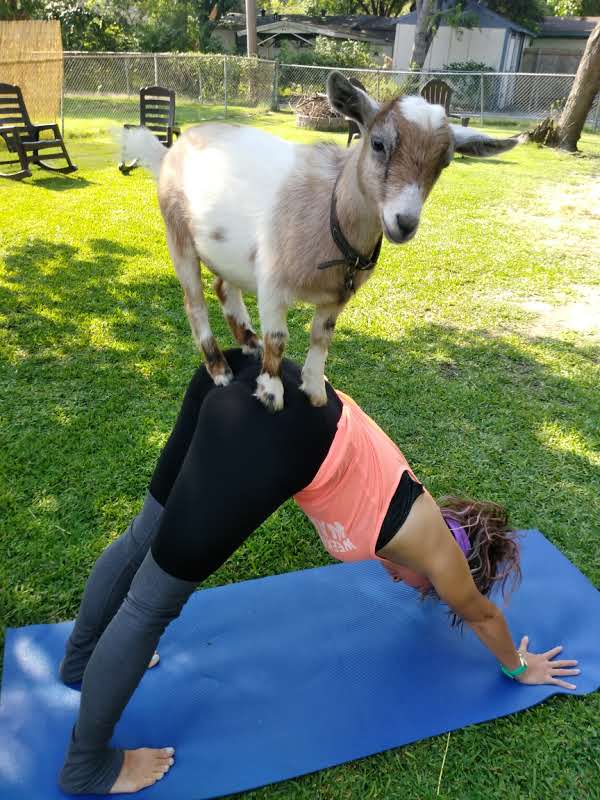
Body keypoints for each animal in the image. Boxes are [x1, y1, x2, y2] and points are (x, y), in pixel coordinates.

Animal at [123, 71, 516, 410]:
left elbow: (321, 336)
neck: (330, 212)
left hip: (227, 248)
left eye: (445, 162)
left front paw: (314, 388)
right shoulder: (272, 283)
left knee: (223, 286)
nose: (404, 223)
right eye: (378, 143)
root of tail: (171, 151)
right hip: (179, 236)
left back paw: (248, 339)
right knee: (194, 302)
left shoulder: (335, 297)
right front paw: (271, 391)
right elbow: (279, 338)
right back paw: (219, 368)